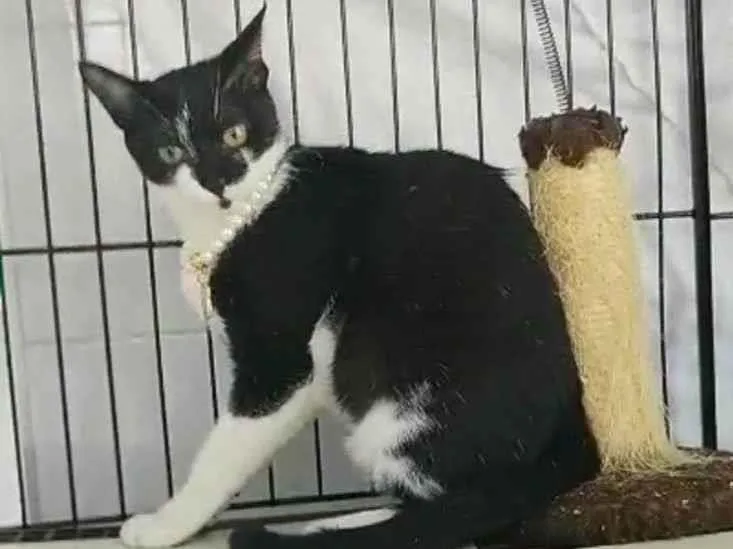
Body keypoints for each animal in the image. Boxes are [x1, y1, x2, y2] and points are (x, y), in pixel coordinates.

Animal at [79, 5, 600, 549]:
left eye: (234, 134)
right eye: (170, 152)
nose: (217, 181)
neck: (236, 220)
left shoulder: (281, 356)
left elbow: (226, 449)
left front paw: (168, 523)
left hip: (400, 401)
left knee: (457, 511)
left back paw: (332, 524)